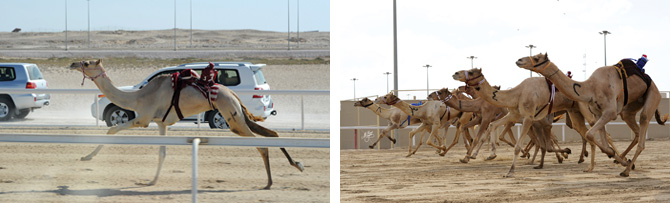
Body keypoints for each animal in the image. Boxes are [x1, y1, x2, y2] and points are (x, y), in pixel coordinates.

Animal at [516, 53, 668, 177]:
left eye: (536, 58)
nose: (519, 60)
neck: (590, 87)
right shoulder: (598, 113)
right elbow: (602, 142)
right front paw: (613, 155)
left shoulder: (610, 112)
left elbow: (589, 134)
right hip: (629, 108)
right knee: (634, 129)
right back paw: (625, 161)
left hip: (653, 95)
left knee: (643, 126)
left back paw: (626, 171)